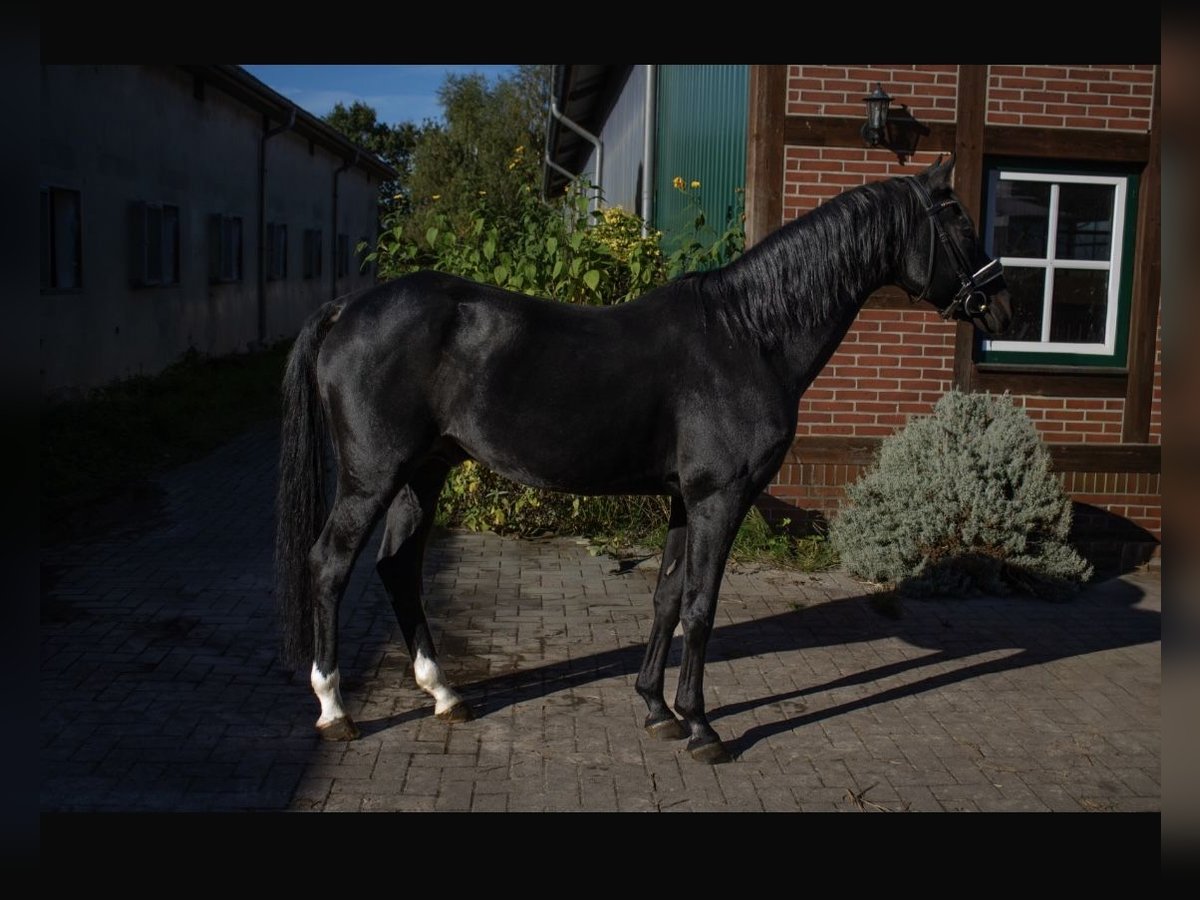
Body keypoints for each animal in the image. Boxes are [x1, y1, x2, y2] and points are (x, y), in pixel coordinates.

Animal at [274, 155, 1011, 764]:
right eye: (957, 215)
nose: (1001, 305)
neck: (749, 335)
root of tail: (349, 307)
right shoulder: (721, 496)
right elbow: (702, 606)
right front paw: (702, 726)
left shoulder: (685, 497)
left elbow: (665, 597)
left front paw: (656, 708)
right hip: (372, 478)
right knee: (330, 565)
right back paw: (335, 709)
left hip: (422, 474)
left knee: (398, 569)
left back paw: (445, 694)